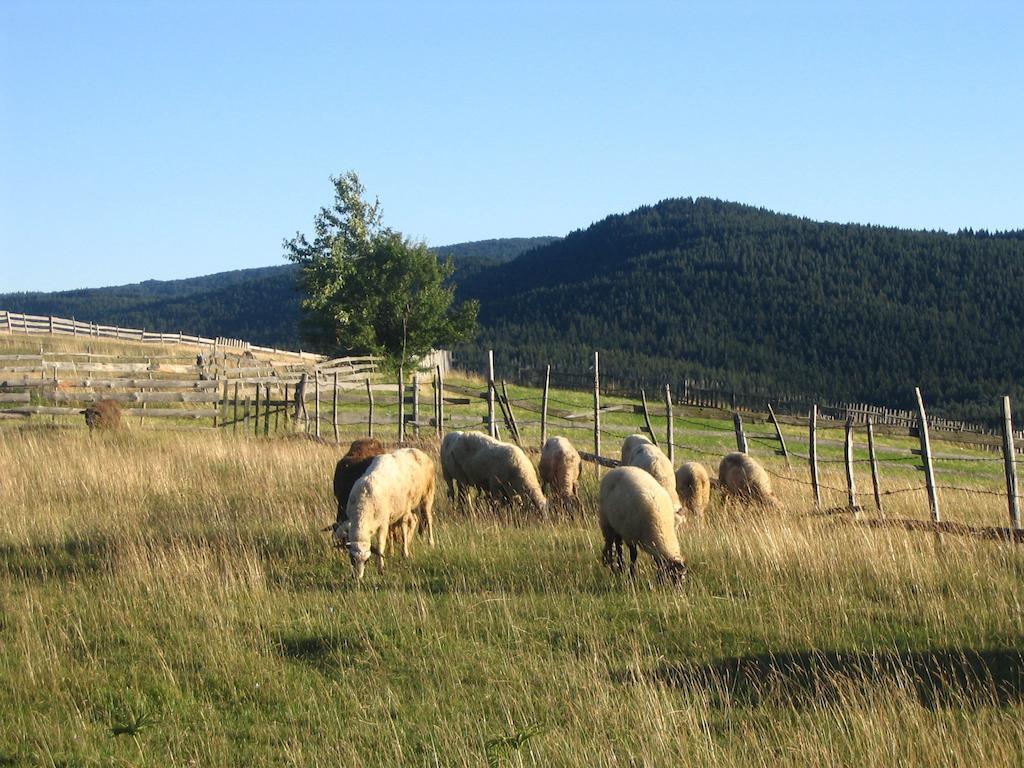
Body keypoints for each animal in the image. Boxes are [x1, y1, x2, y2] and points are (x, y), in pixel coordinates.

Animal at [333, 448, 434, 581]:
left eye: (367, 561)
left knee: (423, 519)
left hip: (426, 496)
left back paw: (426, 544)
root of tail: (417, 451)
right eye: (352, 559)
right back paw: (403, 546)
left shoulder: (383, 523)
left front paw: (381, 568)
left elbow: (381, 544)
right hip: (404, 507)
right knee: (414, 520)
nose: (358, 578)